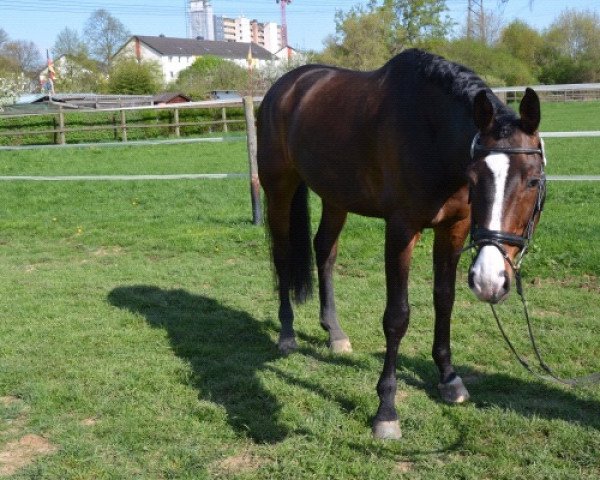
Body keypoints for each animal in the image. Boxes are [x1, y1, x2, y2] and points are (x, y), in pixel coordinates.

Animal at [255, 47, 548, 438]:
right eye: (475, 176)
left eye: (532, 180)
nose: (490, 280)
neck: (430, 133)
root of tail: (285, 86)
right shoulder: (400, 230)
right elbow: (397, 317)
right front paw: (386, 410)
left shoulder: (454, 228)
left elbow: (444, 300)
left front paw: (449, 378)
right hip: (279, 188)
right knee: (283, 254)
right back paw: (287, 333)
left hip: (335, 197)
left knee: (325, 251)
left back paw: (334, 333)